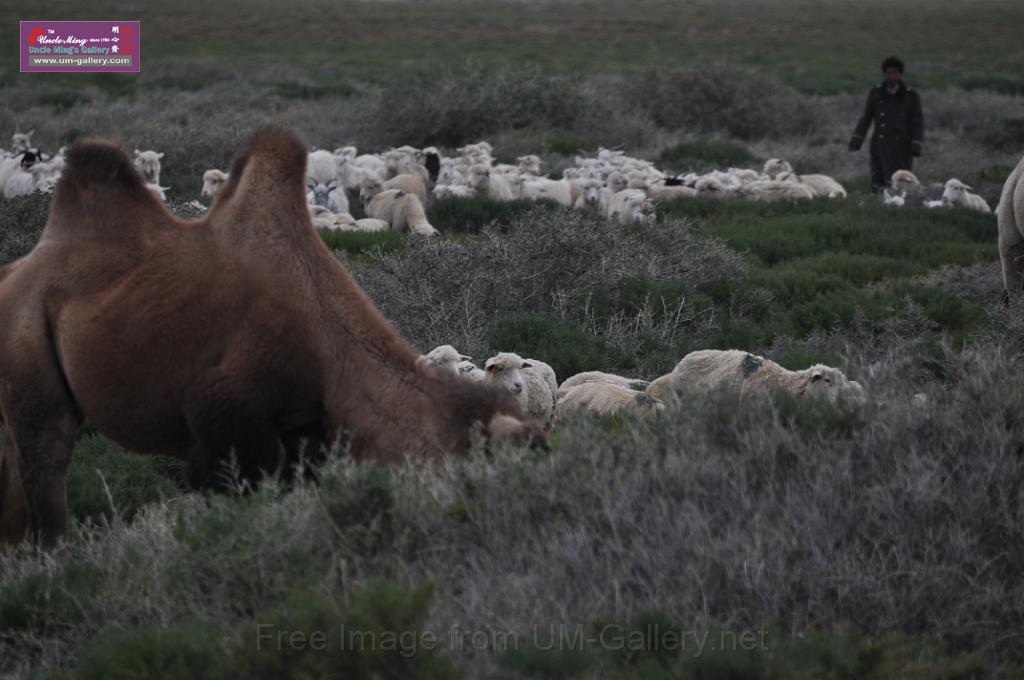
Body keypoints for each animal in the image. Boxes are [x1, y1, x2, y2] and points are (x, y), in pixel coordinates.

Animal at [0, 127, 543, 546]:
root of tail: (12, 275)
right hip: (30, 359)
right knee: (46, 468)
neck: (329, 353)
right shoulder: (228, 425)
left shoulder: (306, 429)